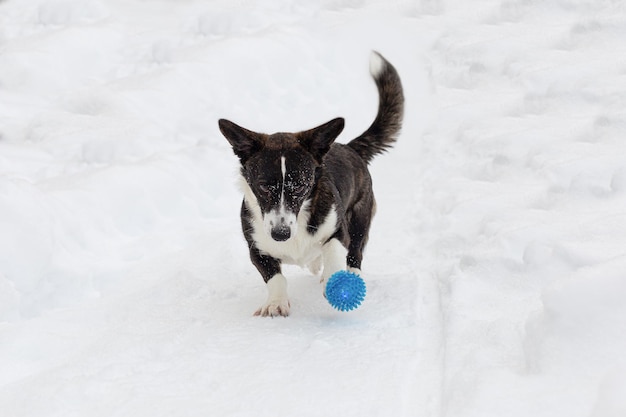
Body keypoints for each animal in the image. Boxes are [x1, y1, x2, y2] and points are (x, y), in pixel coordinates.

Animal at [219, 50, 402, 316]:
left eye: (300, 186)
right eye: (263, 186)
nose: (280, 234)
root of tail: (349, 147)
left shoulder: (338, 230)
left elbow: (334, 250)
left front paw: (334, 281)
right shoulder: (256, 248)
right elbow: (275, 277)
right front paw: (275, 304)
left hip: (360, 218)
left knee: (355, 252)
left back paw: (349, 274)